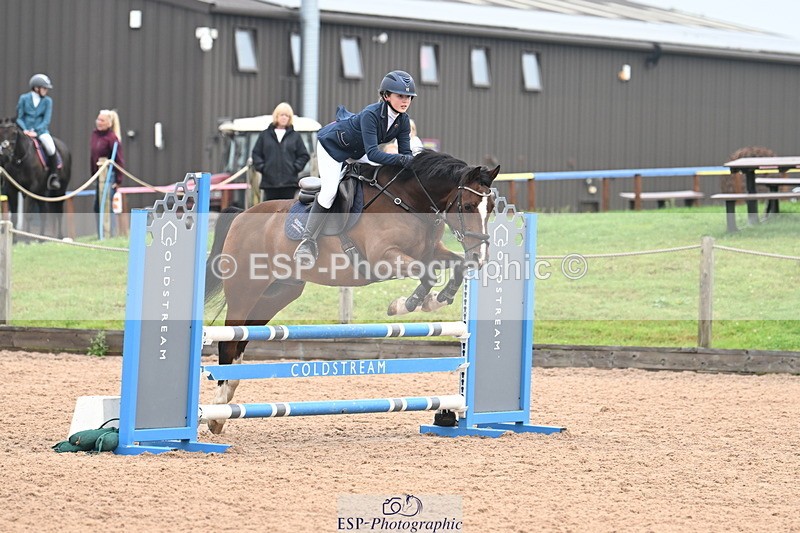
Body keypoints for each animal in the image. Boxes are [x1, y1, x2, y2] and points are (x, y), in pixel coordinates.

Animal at [203, 149, 499, 434]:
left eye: (492, 208)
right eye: (468, 206)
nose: (481, 257)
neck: (408, 202)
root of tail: (242, 216)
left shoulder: (431, 252)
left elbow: (456, 265)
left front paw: (438, 300)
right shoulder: (385, 259)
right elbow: (428, 275)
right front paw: (407, 304)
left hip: (277, 294)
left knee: (243, 339)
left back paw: (227, 398)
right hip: (245, 291)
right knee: (229, 340)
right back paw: (216, 412)